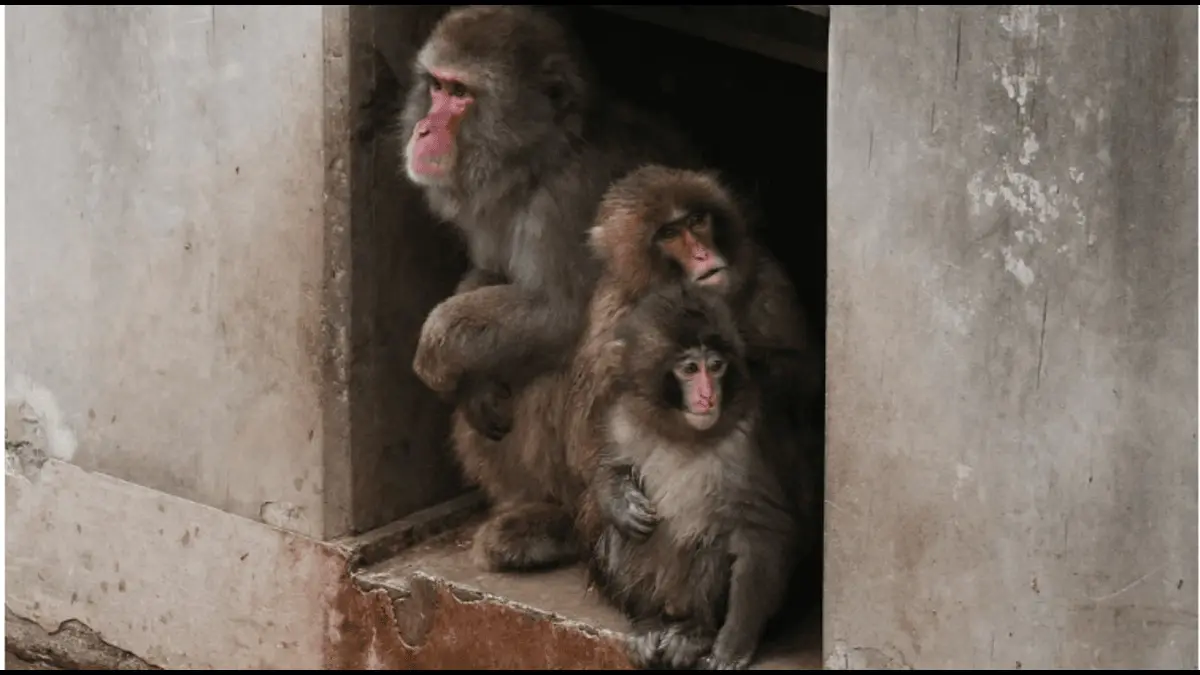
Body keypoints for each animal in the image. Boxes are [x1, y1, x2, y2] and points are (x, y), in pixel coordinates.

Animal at [398, 6, 703, 571]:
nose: (424, 127)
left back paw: (560, 525)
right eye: (436, 85)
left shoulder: (571, 203)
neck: (541, 162)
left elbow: (564, 316)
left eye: (461, 93)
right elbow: (491, 275)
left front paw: (437, 346)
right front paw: (473, 385)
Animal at [586, 283, 799, 670]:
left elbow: (763, 530)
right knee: (622, 535)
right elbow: (605, 468)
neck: (682, 432)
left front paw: (734, 641)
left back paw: (694, 631)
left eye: (715, 366)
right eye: (689, 369)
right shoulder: (623, 416)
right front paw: (620, 502)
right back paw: (648, 621)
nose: (707, 395)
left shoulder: (746, 442)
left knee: (712, 540)